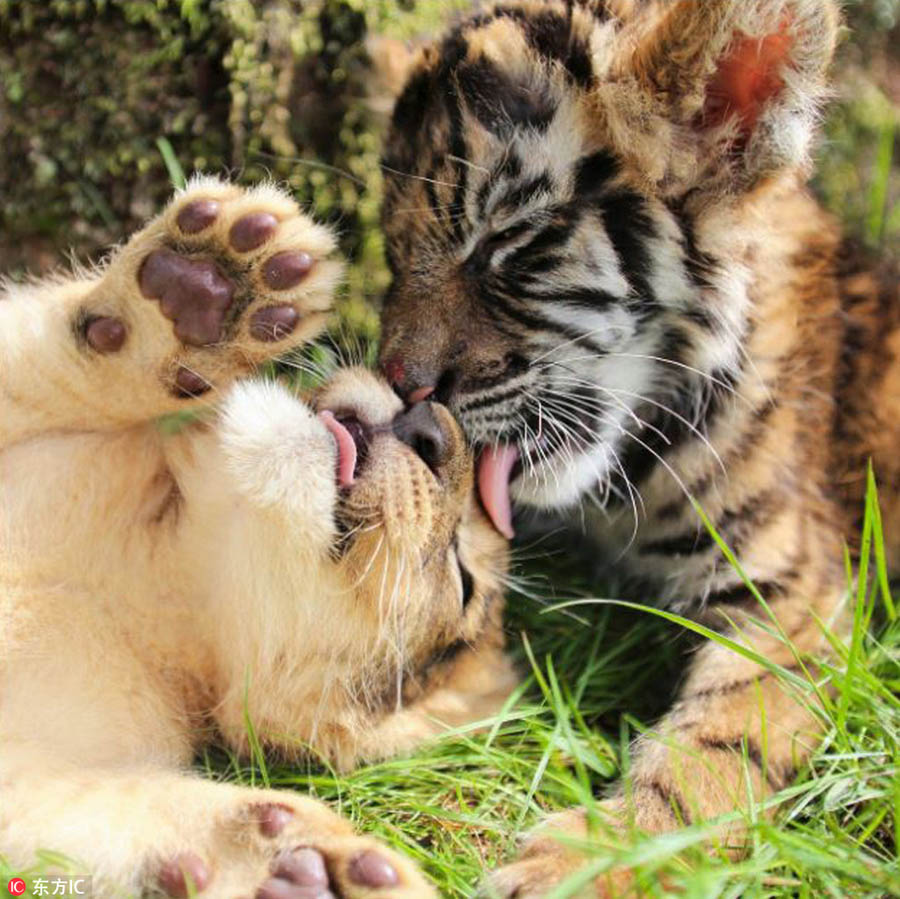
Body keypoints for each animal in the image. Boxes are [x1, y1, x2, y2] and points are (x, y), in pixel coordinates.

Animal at [0, 178, 515, 899]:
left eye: (464, 578)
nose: (429, 426)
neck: (149, 576)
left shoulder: (34, 772)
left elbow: (98, 812)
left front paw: (300, 867)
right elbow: (30, 352)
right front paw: (211, 278)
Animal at [374, 0, 900, 895]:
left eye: (507, 247)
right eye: (393, 246)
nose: (398, 382)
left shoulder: (793, 592)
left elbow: (714, 744)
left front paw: (588, 862)